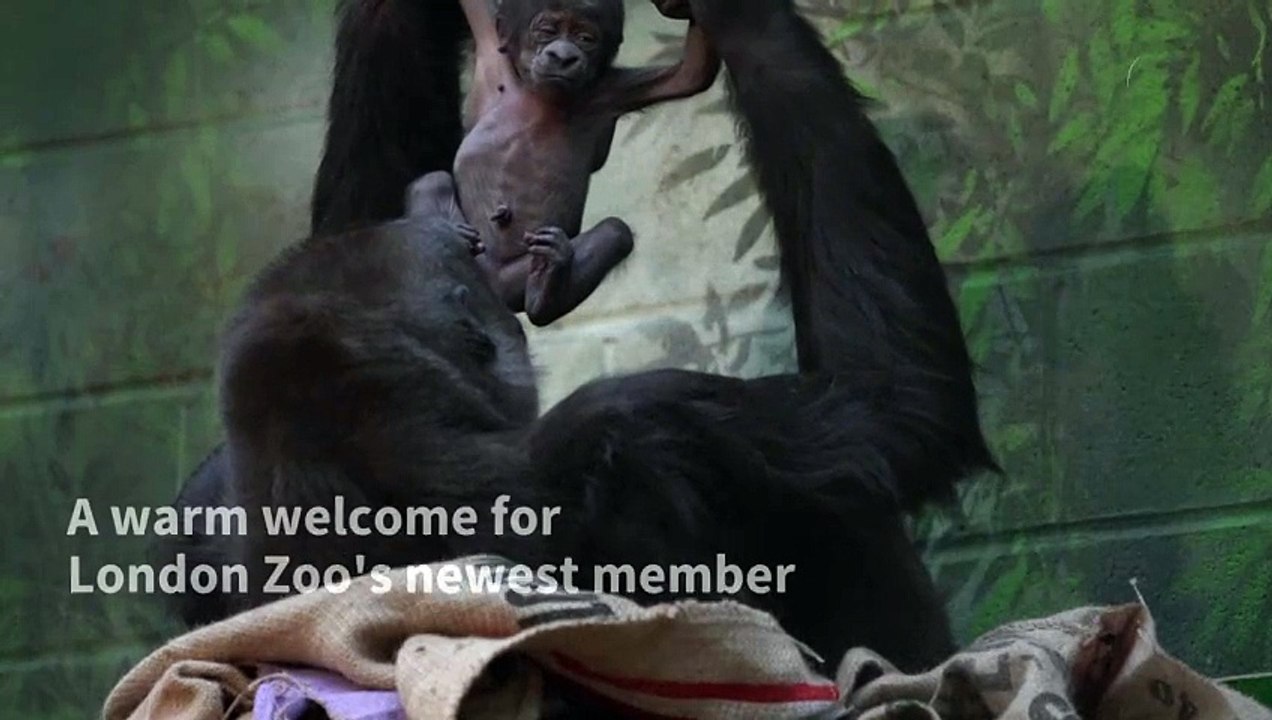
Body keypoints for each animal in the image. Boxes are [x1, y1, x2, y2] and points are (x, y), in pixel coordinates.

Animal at [403, 0, 721, 326]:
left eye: (585, 38)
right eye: (547, 31)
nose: (563, 55)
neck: (540, 95)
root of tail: (498, 291)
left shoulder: (609, 90)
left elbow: (690, 74)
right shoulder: (494, 60)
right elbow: (479, 16)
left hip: (519, 274)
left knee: (614, 232)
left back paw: (546, 286)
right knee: (430, 183)